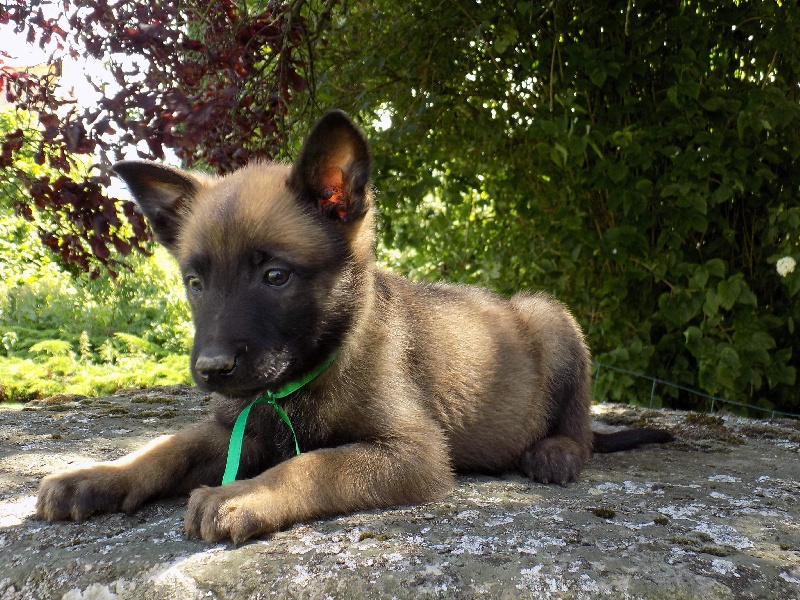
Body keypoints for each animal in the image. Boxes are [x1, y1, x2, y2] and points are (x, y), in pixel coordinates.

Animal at [39, 109, 676, 544]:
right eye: (196, 283)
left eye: (275, 275)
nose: (212, 369)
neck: (306, 375)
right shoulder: (240, 425)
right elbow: (165, 448)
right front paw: (98, 475)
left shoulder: (413, 452)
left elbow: (314, 463)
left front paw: (245, 493)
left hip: (551, 318)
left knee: (581, 425)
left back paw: (557, 452)